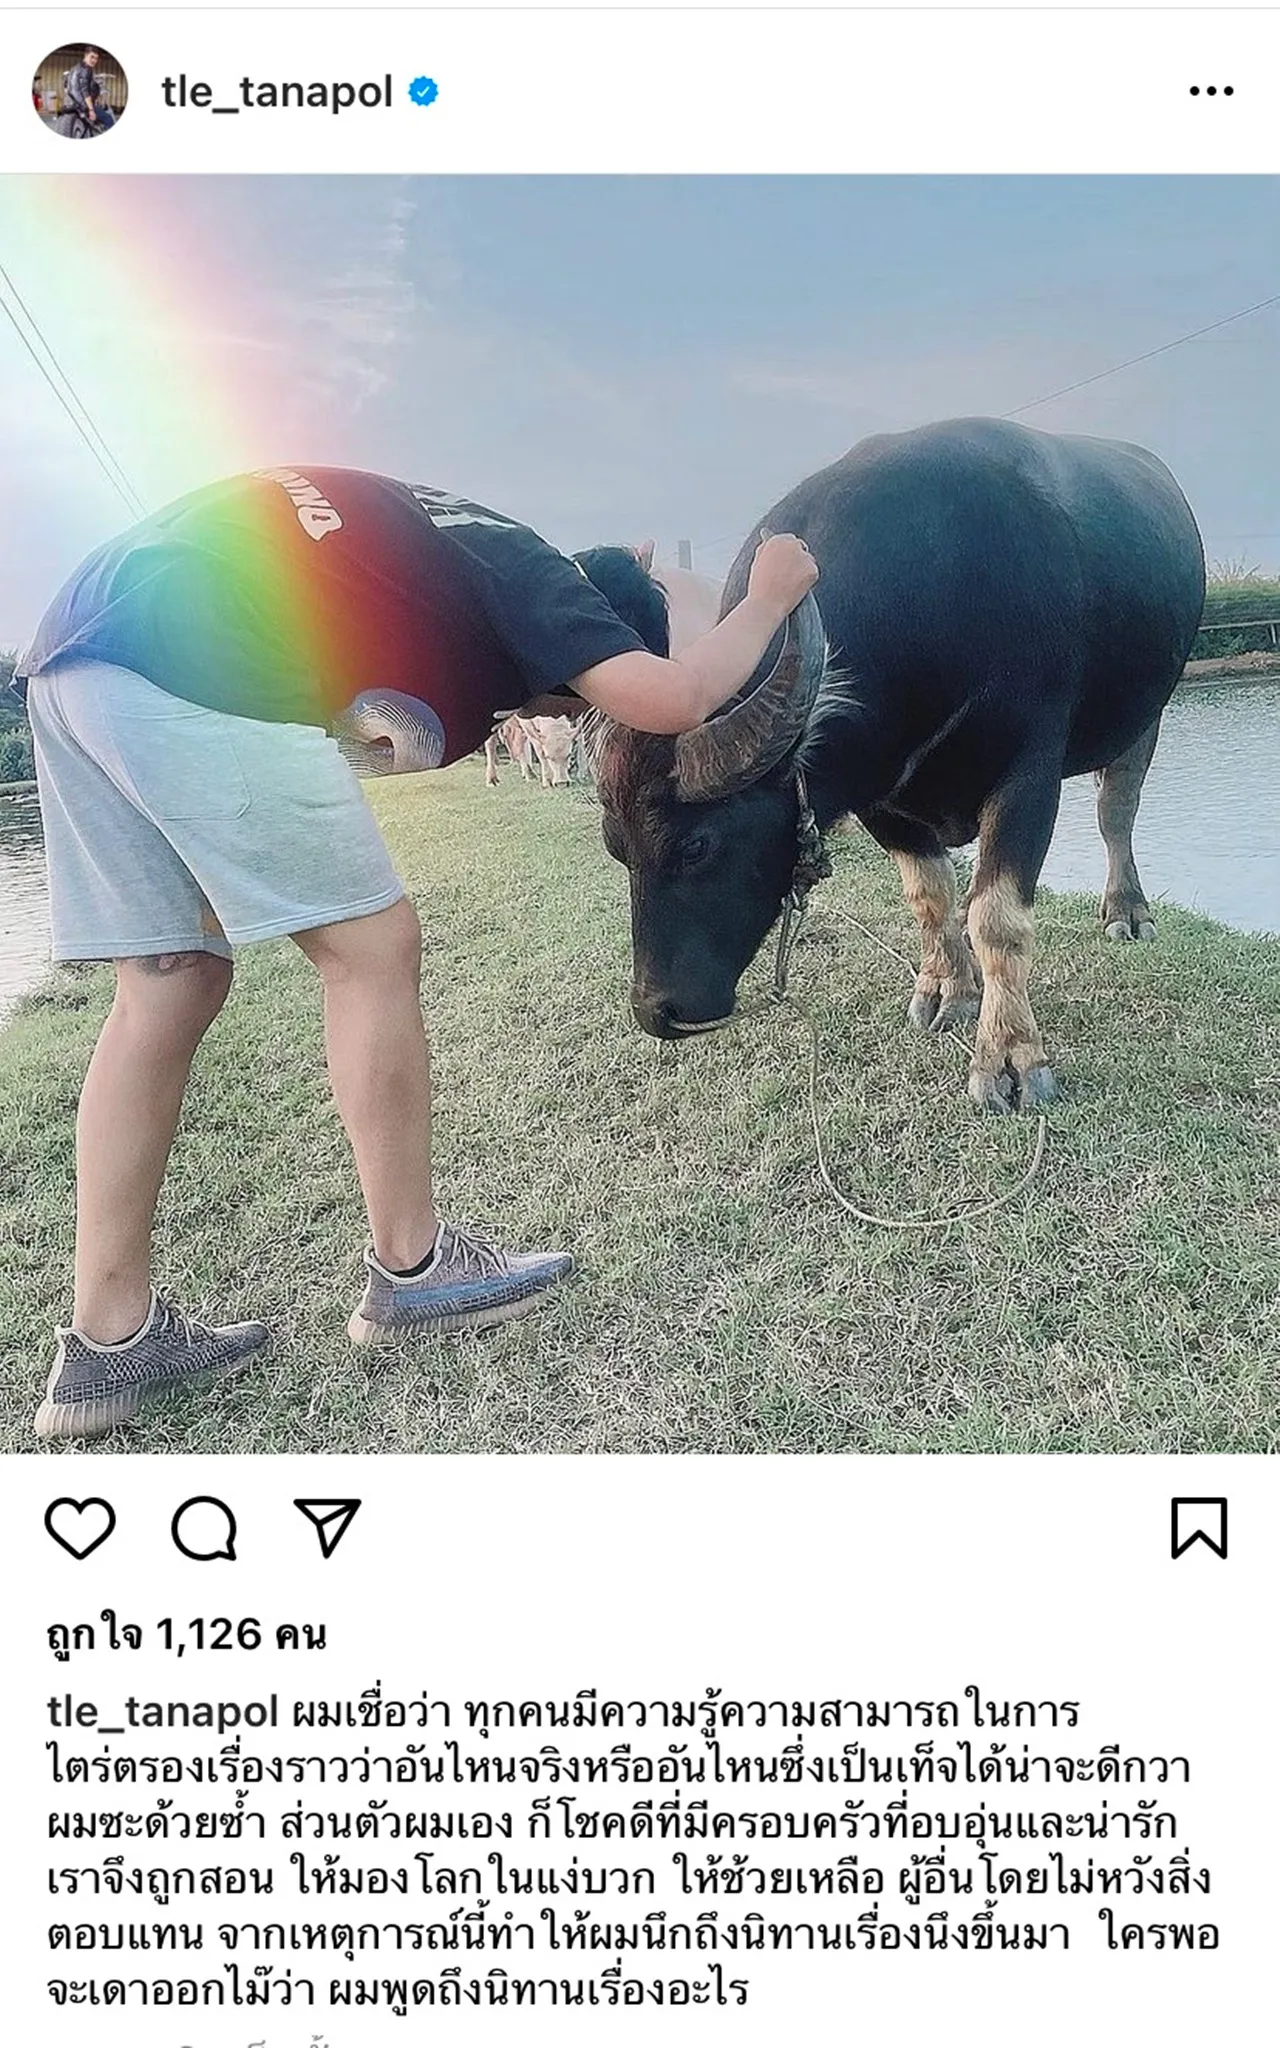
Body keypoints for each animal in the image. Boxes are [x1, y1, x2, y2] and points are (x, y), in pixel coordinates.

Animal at [592, 418, 1206, 1112]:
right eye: (618, 849)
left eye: (696, 845)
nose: (655, 1011)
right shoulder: (880, 797)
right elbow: (930, 895)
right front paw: (947, 990)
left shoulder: (1029, 774)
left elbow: (999, 919)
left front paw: (1010, 1059)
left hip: (1148, 713)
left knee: (1115, 811)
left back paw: (1126, 910)